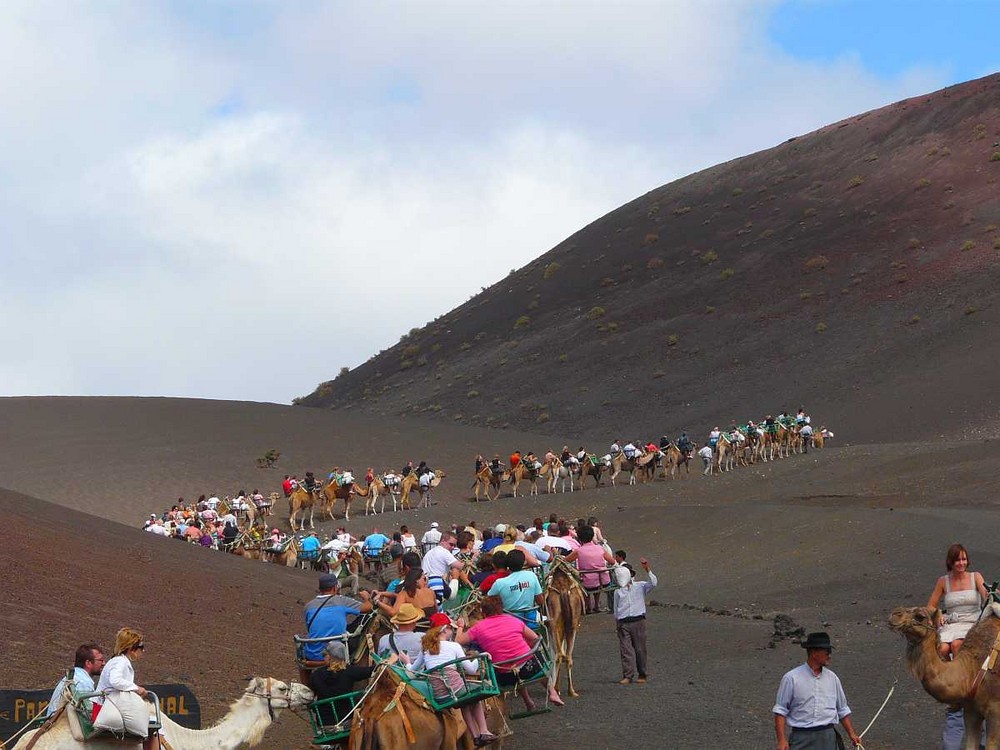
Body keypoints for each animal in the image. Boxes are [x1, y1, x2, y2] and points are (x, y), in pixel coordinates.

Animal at [548, 560, 584, 700]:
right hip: (572, 624)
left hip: (554, 624)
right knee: (567, 656)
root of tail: (563, 590)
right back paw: (571, 691)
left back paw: (555, 690)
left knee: (559, 655)